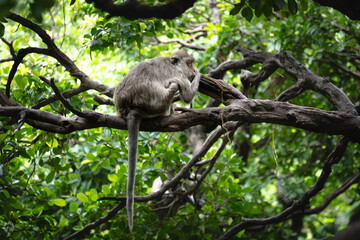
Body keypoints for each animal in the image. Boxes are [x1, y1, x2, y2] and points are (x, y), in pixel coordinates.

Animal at [114, 49, 201, 231]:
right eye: (189, 63)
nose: (192, 69)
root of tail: (130, 109)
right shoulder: (179, 75)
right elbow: (187, 96)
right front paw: (199, 74)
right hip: (156, 104)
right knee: (173, 86)